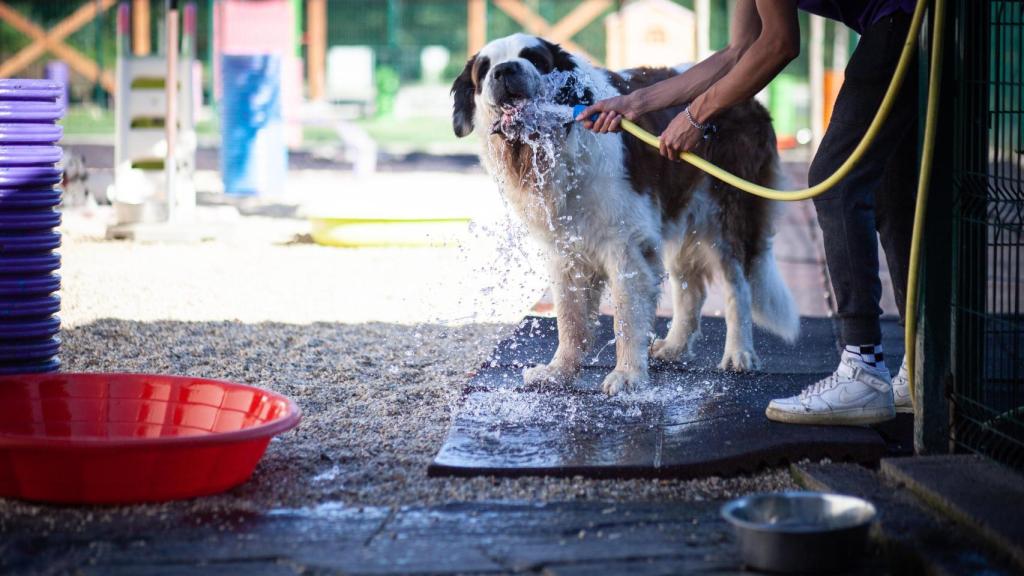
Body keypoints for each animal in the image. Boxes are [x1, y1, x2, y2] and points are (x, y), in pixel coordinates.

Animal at [450, 33, 798, 393]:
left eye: (532, 57)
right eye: (485, 68)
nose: (505, 70)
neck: (564, 141)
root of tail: (753, 101)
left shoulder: (626, 244)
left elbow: (626, 314)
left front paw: (627, 375)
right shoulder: (567, 250)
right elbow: (569, 316)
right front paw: (559, 371)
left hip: (728, 214)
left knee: (737, 287)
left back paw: (739, 353)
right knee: (691, 288)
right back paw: (674, 347)